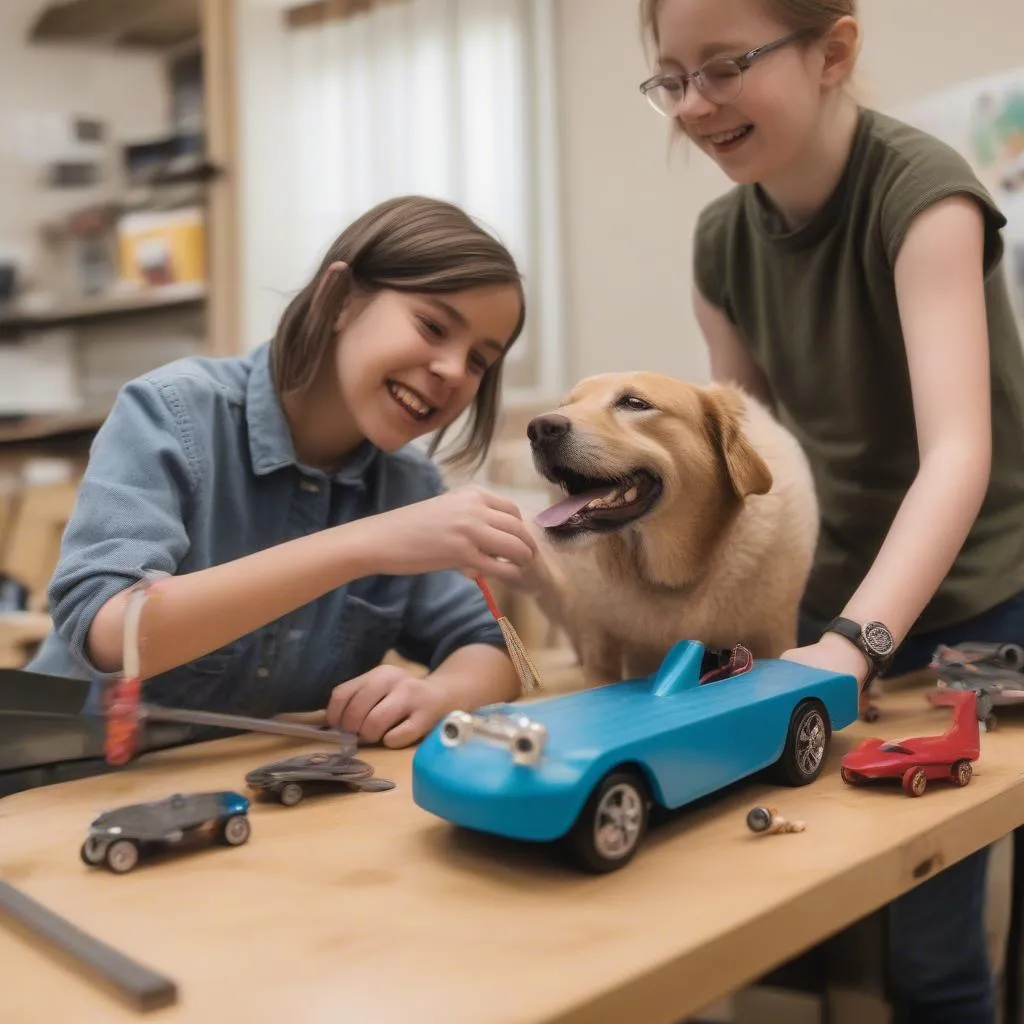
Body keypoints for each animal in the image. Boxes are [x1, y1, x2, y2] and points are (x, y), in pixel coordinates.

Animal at [520, 370, 815, 688]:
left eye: (634, 403)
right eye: (565, 405)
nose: (538, 428)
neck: (669, 576)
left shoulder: (773, 633)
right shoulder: (600, 647)